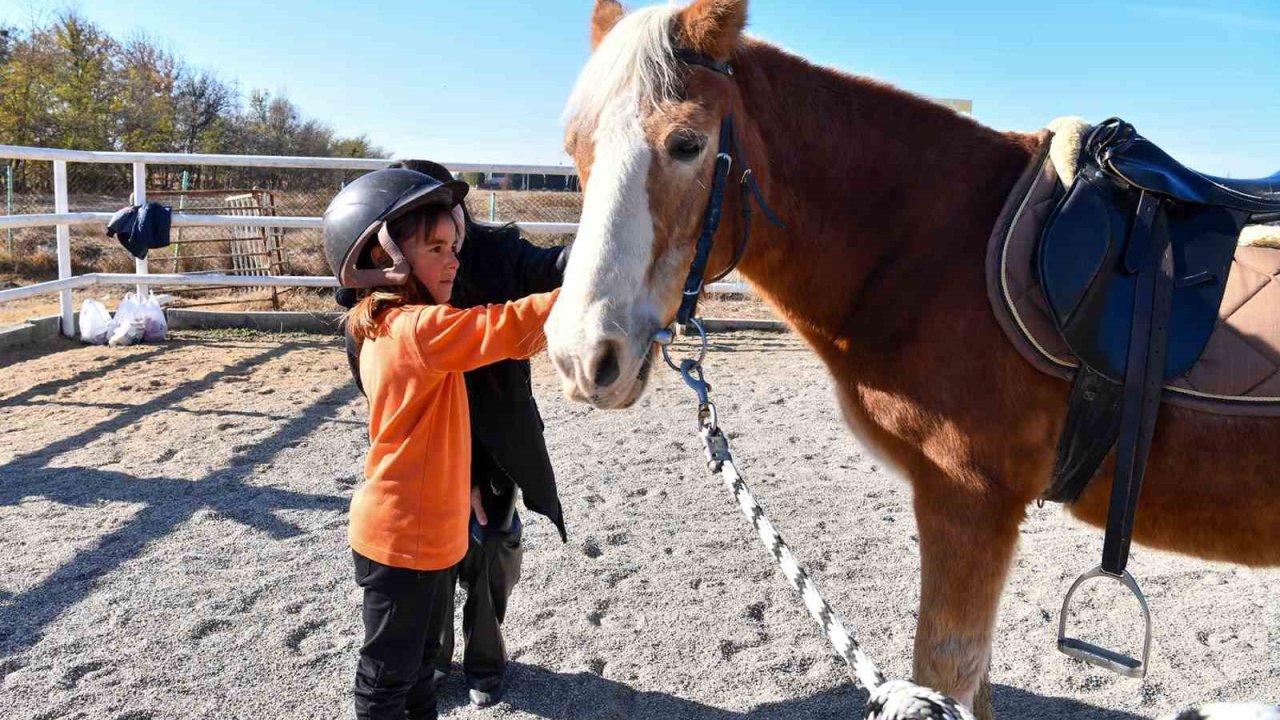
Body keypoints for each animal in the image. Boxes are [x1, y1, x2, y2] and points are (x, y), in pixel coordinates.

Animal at [542, 2, 1280, 712]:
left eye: (687, 143)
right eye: (575, 148)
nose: (582, 354)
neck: (938, 247)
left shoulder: (969, 502)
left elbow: (944, 671)